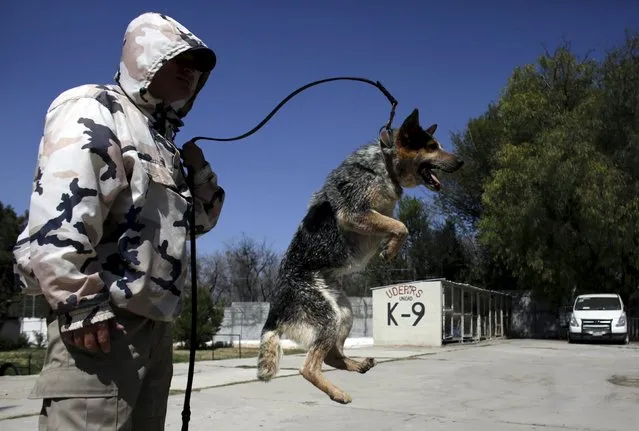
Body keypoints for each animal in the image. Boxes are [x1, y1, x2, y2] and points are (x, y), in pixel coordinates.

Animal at [256, 108, 464, 404]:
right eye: (433, 147)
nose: (461, 161)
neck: (384, 165)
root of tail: (275, 311)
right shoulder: (355, 214)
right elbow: (402, 226)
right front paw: (391, 249)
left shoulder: (378, 215)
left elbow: (396, 224)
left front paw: (390, 247)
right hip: (328, 316)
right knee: (308, 368)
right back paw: (338, 393)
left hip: (343, 312)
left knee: (331, 357)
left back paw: (358, 365)